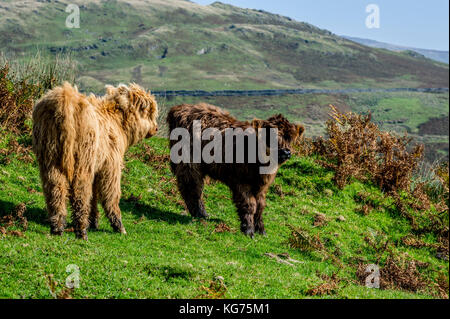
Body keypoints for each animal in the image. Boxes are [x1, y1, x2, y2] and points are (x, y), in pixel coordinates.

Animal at [32, 82, 158, 240]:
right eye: (149, 112)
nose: (156, 128)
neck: (118, 122)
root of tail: (65, 97)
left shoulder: (96, 169)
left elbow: (94, 196)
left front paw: (94, 222)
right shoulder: (110, 166)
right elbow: (110, 194)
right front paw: (117, 226)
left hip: (50, 159)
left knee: (55, 189)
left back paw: (58, 228)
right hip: (82, 162)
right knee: (80, 192)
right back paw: (82, 231)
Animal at [167, 103, 304, 238]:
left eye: (290, 138)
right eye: (271, 136)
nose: (286, 152)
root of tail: (179, 108)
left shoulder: (261, 187)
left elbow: (260, 206)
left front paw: (261, 230)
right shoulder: (241, 183)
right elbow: (249, 205)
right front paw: (248, 230)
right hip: (189, 163)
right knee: (192, 188)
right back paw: (201, 214)